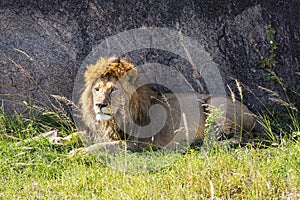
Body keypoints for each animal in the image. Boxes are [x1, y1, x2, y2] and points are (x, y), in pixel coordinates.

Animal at [68, 56, 262, 155]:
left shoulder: (136, 143)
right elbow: (78, 135)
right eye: (97, 89)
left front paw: (79, 151)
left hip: (215, 103)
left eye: (113, 90)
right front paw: (61, 140)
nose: (99, 104)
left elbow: (106, 146)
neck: (113, 119)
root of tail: (253, 115)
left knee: (239, 137)